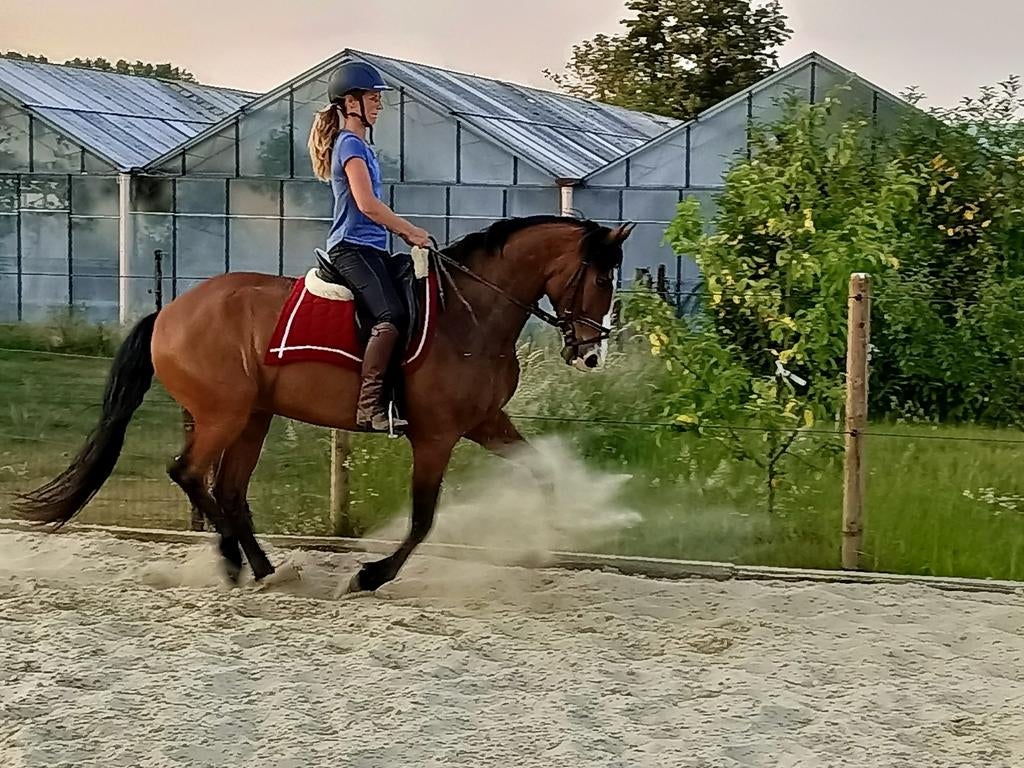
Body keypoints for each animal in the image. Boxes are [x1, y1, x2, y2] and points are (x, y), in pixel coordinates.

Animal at [14, 215, 634, 593]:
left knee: (229, 490)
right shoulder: (436, 436)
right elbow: (423, 519)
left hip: (254, 418)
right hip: (223, 415)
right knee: (188, 473)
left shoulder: (485, 422)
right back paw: (237, 562)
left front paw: (548, 537)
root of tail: (170, 311)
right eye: (601, 280)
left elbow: (543, 471)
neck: (473, 314)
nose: (590, 355)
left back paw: (265, 570)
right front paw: (370, 575)